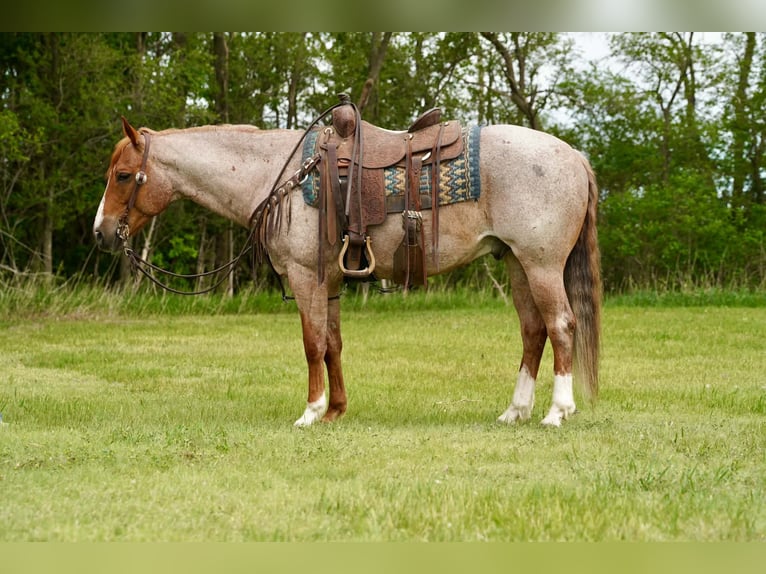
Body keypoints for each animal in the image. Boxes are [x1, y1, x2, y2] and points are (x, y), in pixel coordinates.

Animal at [94, 115, 601, 427]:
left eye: (123, 175)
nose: (100, 232)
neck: (276, 175)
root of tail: (575, 156)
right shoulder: (332, 282)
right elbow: (333, 344)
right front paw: (336, 410)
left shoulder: (306, 278)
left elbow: (312, 343)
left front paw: (311, 411)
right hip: (516, 263)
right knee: (533, 331)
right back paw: (516, 411)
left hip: (541, 264)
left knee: (560, 325)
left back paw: (558, 411)